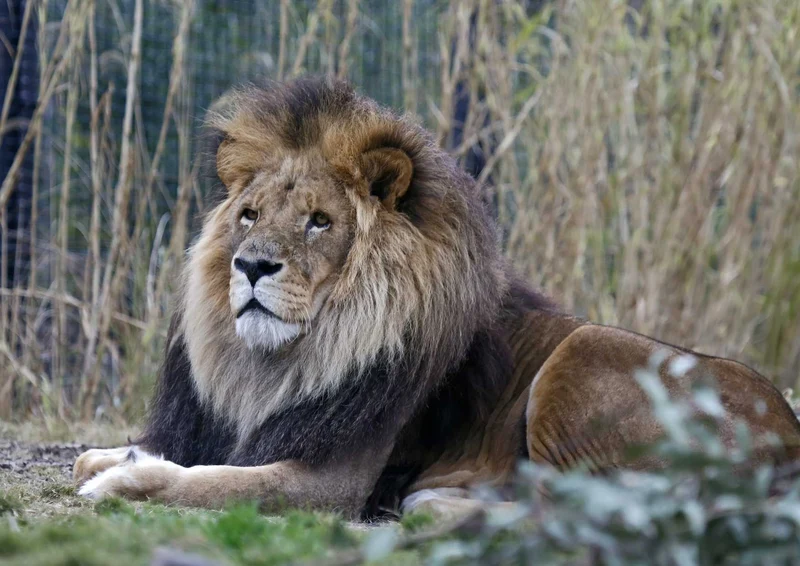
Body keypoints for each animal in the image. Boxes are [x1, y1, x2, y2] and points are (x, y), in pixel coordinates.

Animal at [74, 76, 800, 519]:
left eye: (319, 222)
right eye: (249, 215)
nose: (251, 265)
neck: (281, 362)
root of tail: (789, 439)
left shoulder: (330, 484)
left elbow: (211, 481)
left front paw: (124, 478)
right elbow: (159, 454)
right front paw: (114, 454)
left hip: (583, 350)